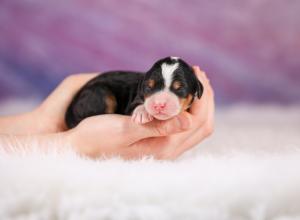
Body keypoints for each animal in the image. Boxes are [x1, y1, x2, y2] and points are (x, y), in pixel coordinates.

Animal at [64, 56, 203, 129]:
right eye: (148, 88)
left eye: (180, 88)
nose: (159, 105)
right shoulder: (132, 101)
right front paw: (143, 112)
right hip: (100, 93)